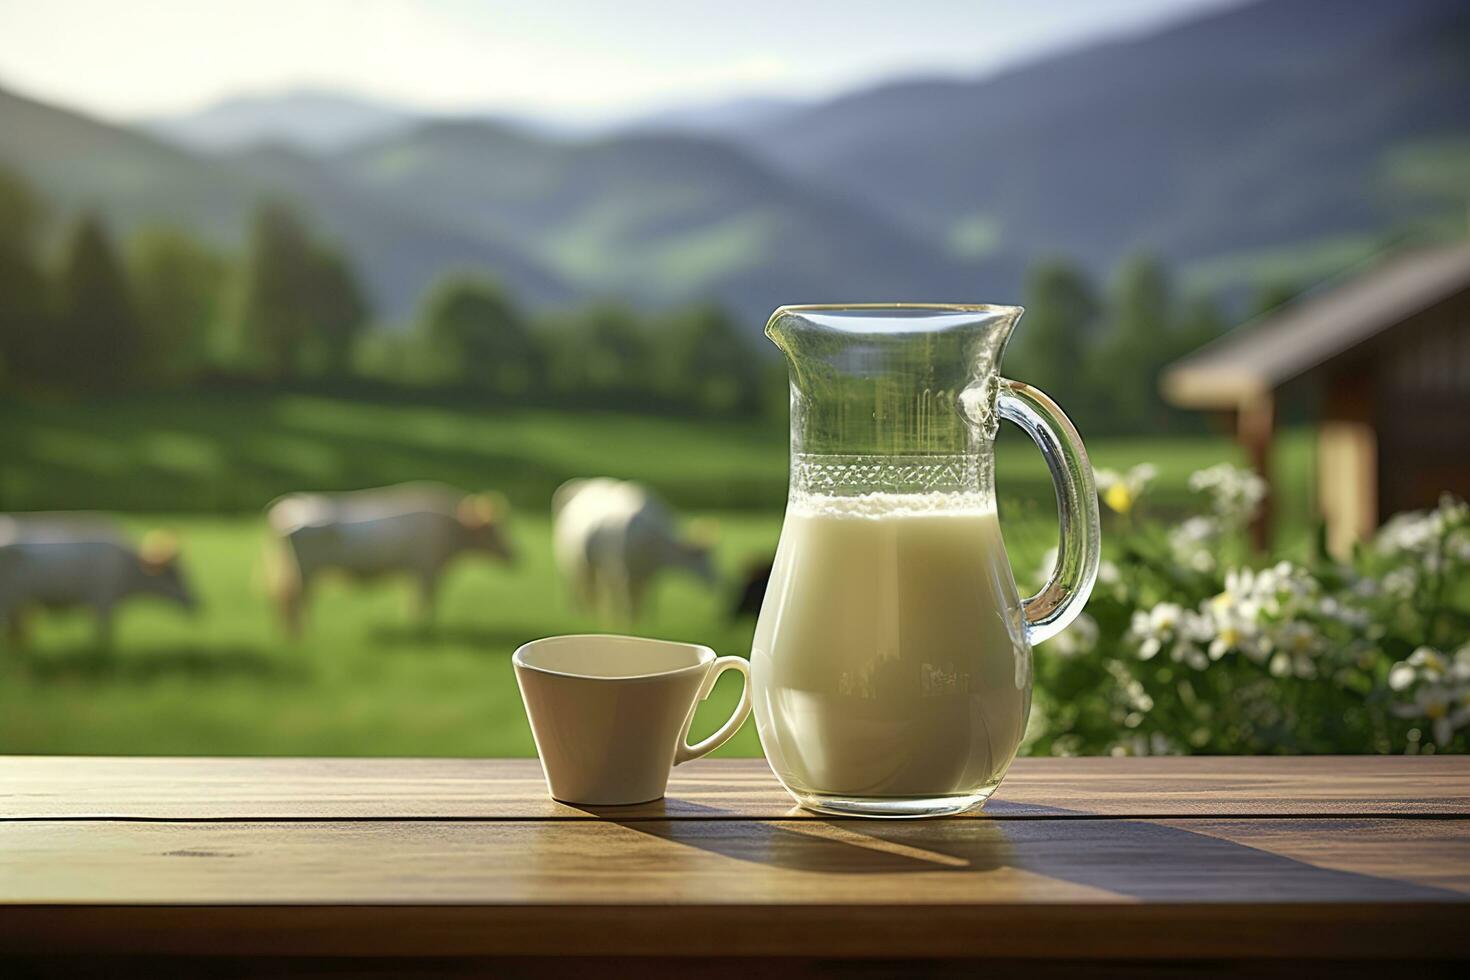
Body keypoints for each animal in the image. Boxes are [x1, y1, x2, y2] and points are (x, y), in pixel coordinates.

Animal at [267, 481, 514, 637]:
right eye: (495, 530)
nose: (516, 555)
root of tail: (285, 508)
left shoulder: (414, 572)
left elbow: (414, 599)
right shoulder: (427, 569)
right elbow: (426, 600)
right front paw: (425, 627)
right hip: (304, 572)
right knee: (297, 599)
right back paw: (305, 634)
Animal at [552, 478, 717, 625]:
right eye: (707, 560)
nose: (719, 584)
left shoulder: (646, 576)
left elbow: (643, 601)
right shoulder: (623, 574)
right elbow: (628, 603)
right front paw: (627, 623)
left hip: (594, 568)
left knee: (596, 592)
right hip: (573, 563)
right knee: (577, 587)